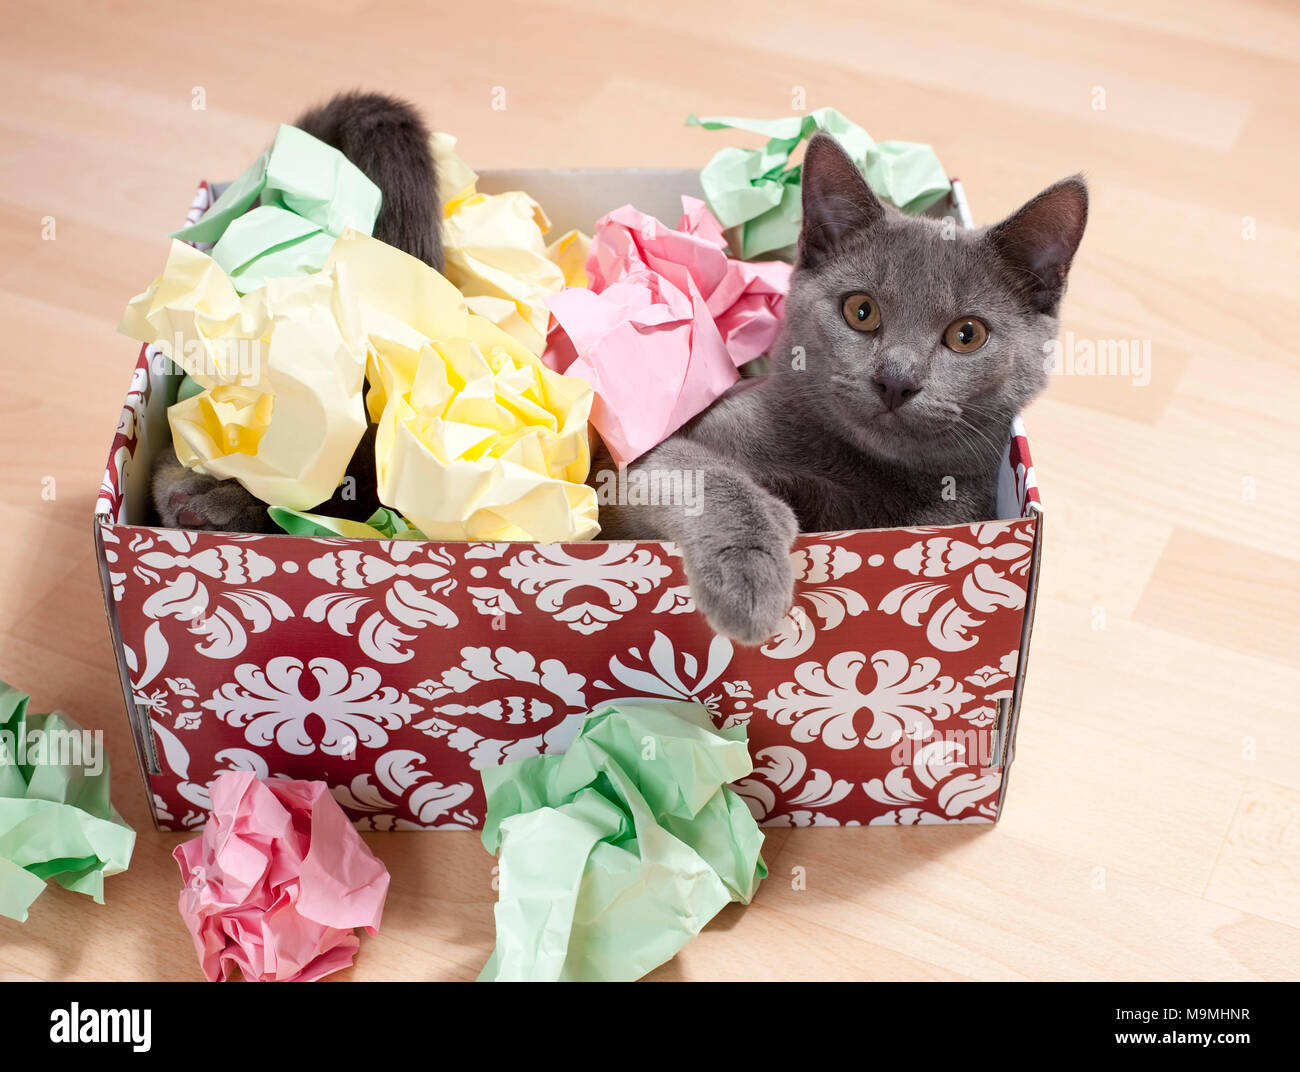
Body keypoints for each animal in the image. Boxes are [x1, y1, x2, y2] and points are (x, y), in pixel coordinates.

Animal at [598, 135, 1086, 644]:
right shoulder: (620, 473)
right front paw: (750, 579)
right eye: (861, 311)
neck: (860, 472)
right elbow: (701, 472)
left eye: (967, 334)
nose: (896, 379)